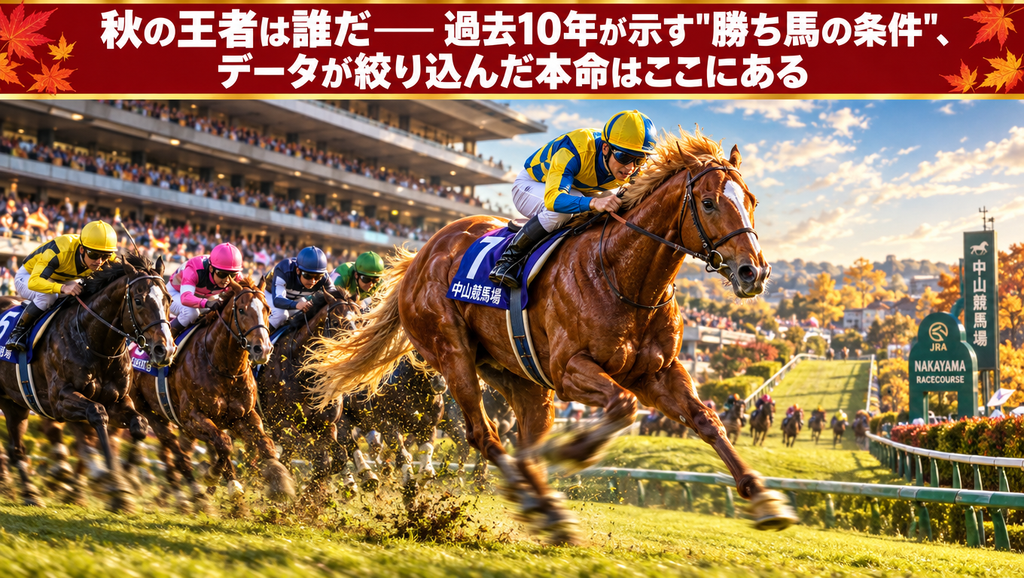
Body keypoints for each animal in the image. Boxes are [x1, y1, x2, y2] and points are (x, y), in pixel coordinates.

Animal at [0, 253, 174, 511]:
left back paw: (30, 492)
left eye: (168, 299)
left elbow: (139, 426)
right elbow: (96, 414)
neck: (95, 342)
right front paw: (113, 482)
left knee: (18, 448)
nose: (165, 350)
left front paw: (125, 482)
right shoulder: (60, 400)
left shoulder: (119, 400)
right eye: (139, 300)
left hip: (15, 403)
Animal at [129, 276, 294, 512]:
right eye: (241, 310)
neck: (225, 368)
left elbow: (265, 445)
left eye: (268, 309)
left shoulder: (244, 416)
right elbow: (224, 444)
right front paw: (224, 482)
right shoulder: (191, 417)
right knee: (174, 450)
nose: (262, 349)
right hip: (150, 412)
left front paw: (280, 482)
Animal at [254, 288, 362, 499]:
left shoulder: (326, 425)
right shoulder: (281, 423)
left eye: (360, 320)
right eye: (335, 322)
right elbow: (319, 457)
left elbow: (338, 457)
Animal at [307, 127, 797, 543]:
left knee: (523, 441)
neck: (625, 276)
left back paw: (545, 508)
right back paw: (535, 498)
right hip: (452, 352)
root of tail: (422, 255)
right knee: (484, 435)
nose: (754, 272)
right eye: (710, 203)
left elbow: (706, 419)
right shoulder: (570, 369)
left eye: (751, 200)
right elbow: (623, 406)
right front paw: (576, 449)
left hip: (517, 376)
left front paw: (764, 498)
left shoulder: (657, 372)